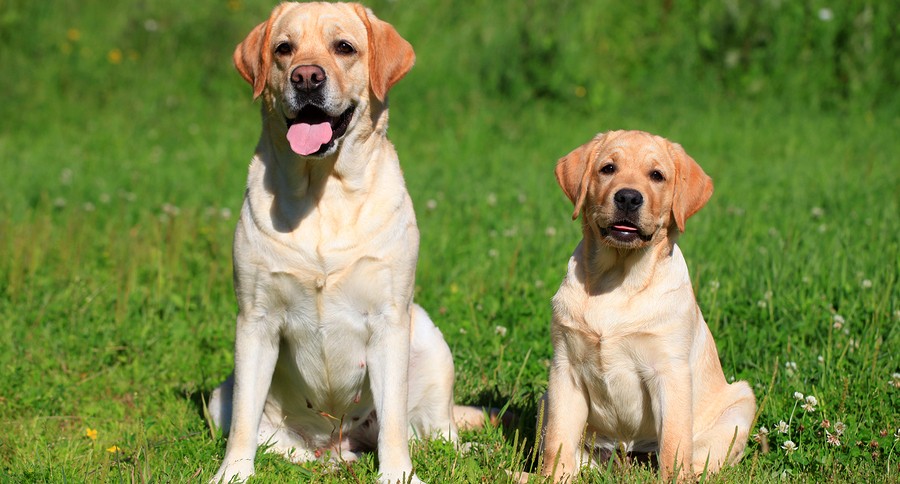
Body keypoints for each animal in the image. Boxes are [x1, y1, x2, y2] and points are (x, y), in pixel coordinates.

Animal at [209, 1, 486, 482]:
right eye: (283, 49)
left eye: (344, 47)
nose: (306, 77)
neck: (324, 195)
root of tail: (336, 443)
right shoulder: (255, 319)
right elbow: (244, 417)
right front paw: (233, 473)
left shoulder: (389, 318)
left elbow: (393, 422)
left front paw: (398, 475)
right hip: (218, 397)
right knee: (272, 437)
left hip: (429, 341)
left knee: (437, 432)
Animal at [540, 130, 760, 480]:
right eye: (608, 168)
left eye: (657, 175)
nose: (628, 198)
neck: (618, 279)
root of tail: (625, 455)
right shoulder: (565, 369)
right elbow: (558, 441)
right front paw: (551, 478)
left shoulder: (669, 373)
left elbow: (673, 444)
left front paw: (674, 478)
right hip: (547, 399)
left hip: (740, 401)